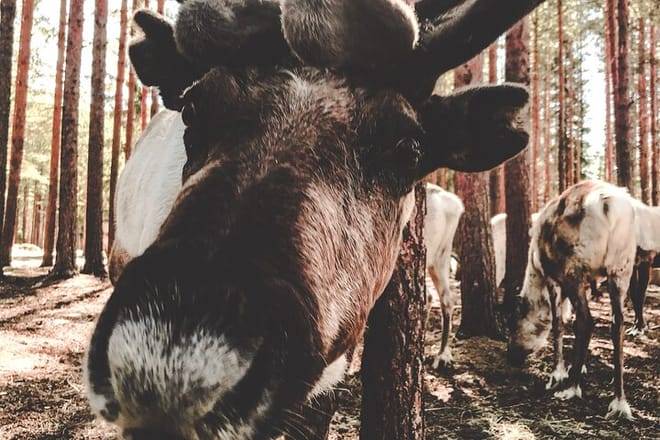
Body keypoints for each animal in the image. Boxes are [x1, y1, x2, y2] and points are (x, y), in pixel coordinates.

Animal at [507, 180, 660, 420]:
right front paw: (578, 366)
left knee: (587, 321)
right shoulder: (591, 280)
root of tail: (610, 204)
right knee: (617, 324)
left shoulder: (553, 277)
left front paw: (558, 373)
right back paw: (619, 401)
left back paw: (572, 387)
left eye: (513, 323)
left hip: (575, 270)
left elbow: (559, 323)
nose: (510, 356)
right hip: (620, 267)